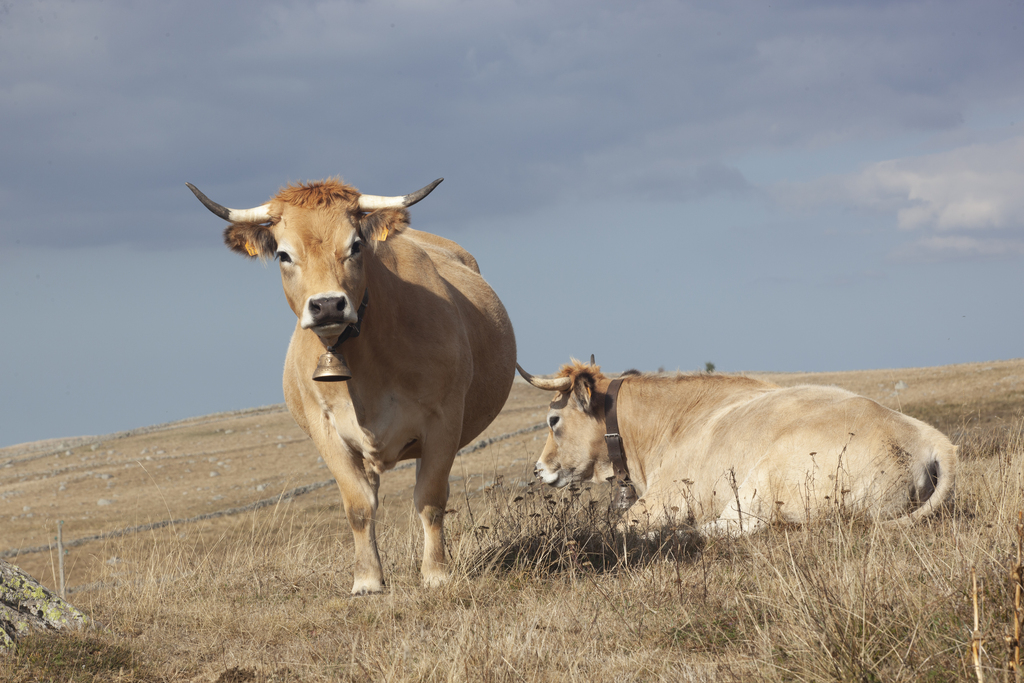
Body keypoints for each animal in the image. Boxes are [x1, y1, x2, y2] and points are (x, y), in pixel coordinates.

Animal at [520, 360, 958, 536]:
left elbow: (621, 529)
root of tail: (930, 438)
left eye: (553, 420)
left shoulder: (665, 498)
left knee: (743, 527)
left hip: (766, 478)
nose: (539, 468)